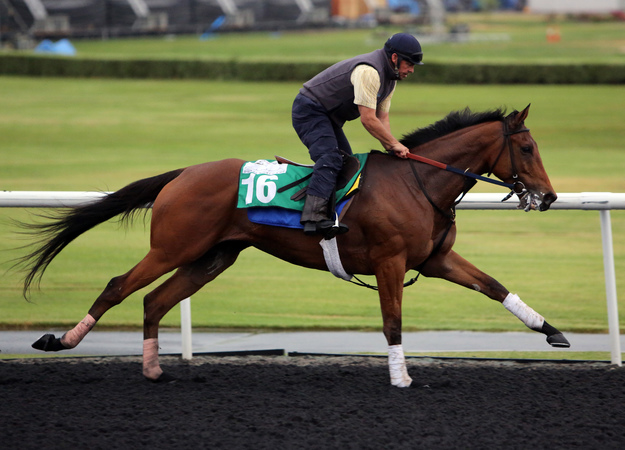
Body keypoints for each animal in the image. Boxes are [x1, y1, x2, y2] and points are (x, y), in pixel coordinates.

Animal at [19, 104, 568, 386]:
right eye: (526, 147)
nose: (549, 196)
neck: (418, 182)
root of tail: (183, 173)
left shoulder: (435, 259)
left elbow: (494, 286)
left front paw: (552, 332)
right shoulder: (390, 261)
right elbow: (392, 323)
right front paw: (401, 378)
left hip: (213, 257)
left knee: (155, 300)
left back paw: (154, 368)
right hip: (173, 248)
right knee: (118, 286)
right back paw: (62, 340)